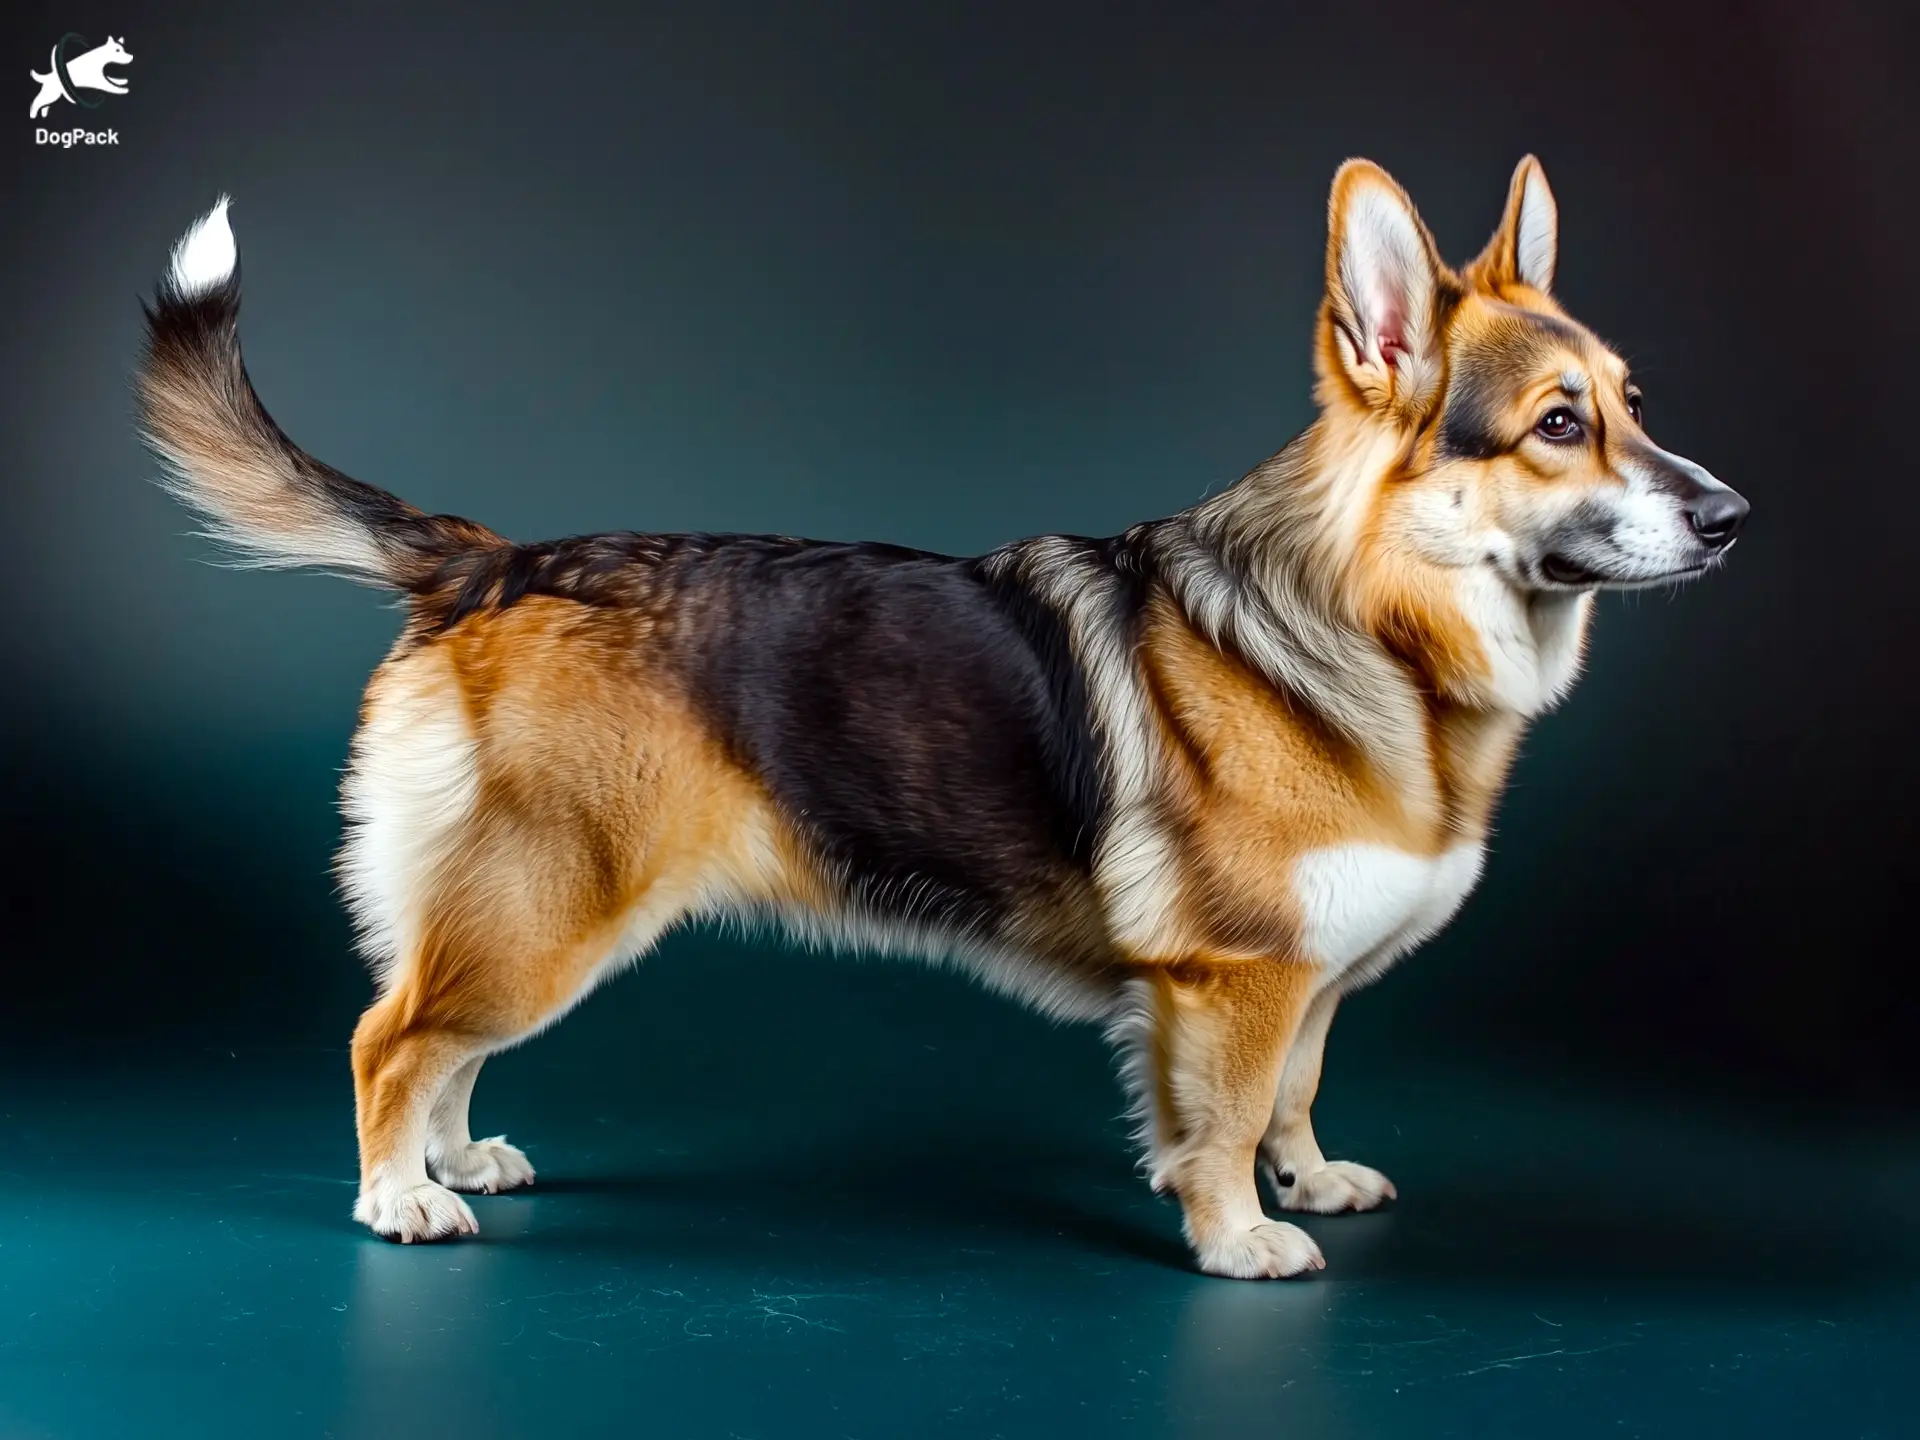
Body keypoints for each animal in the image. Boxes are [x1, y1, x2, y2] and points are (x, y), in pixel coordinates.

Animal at [142, 157, 1751, 1282]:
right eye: (1556, 425)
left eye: (1635, 403)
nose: (1734, 518)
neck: (1376, 630)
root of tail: (489, 559)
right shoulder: (1231, 982)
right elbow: (1224, 1121)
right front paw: (1238, 1236)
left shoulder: (1308, 985)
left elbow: (1293, 1097)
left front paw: (1310, 1182)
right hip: (547, 905)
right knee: (391, 1036)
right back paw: (398, 1196)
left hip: (523, 907)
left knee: (444, 1041)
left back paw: (455, 1161)